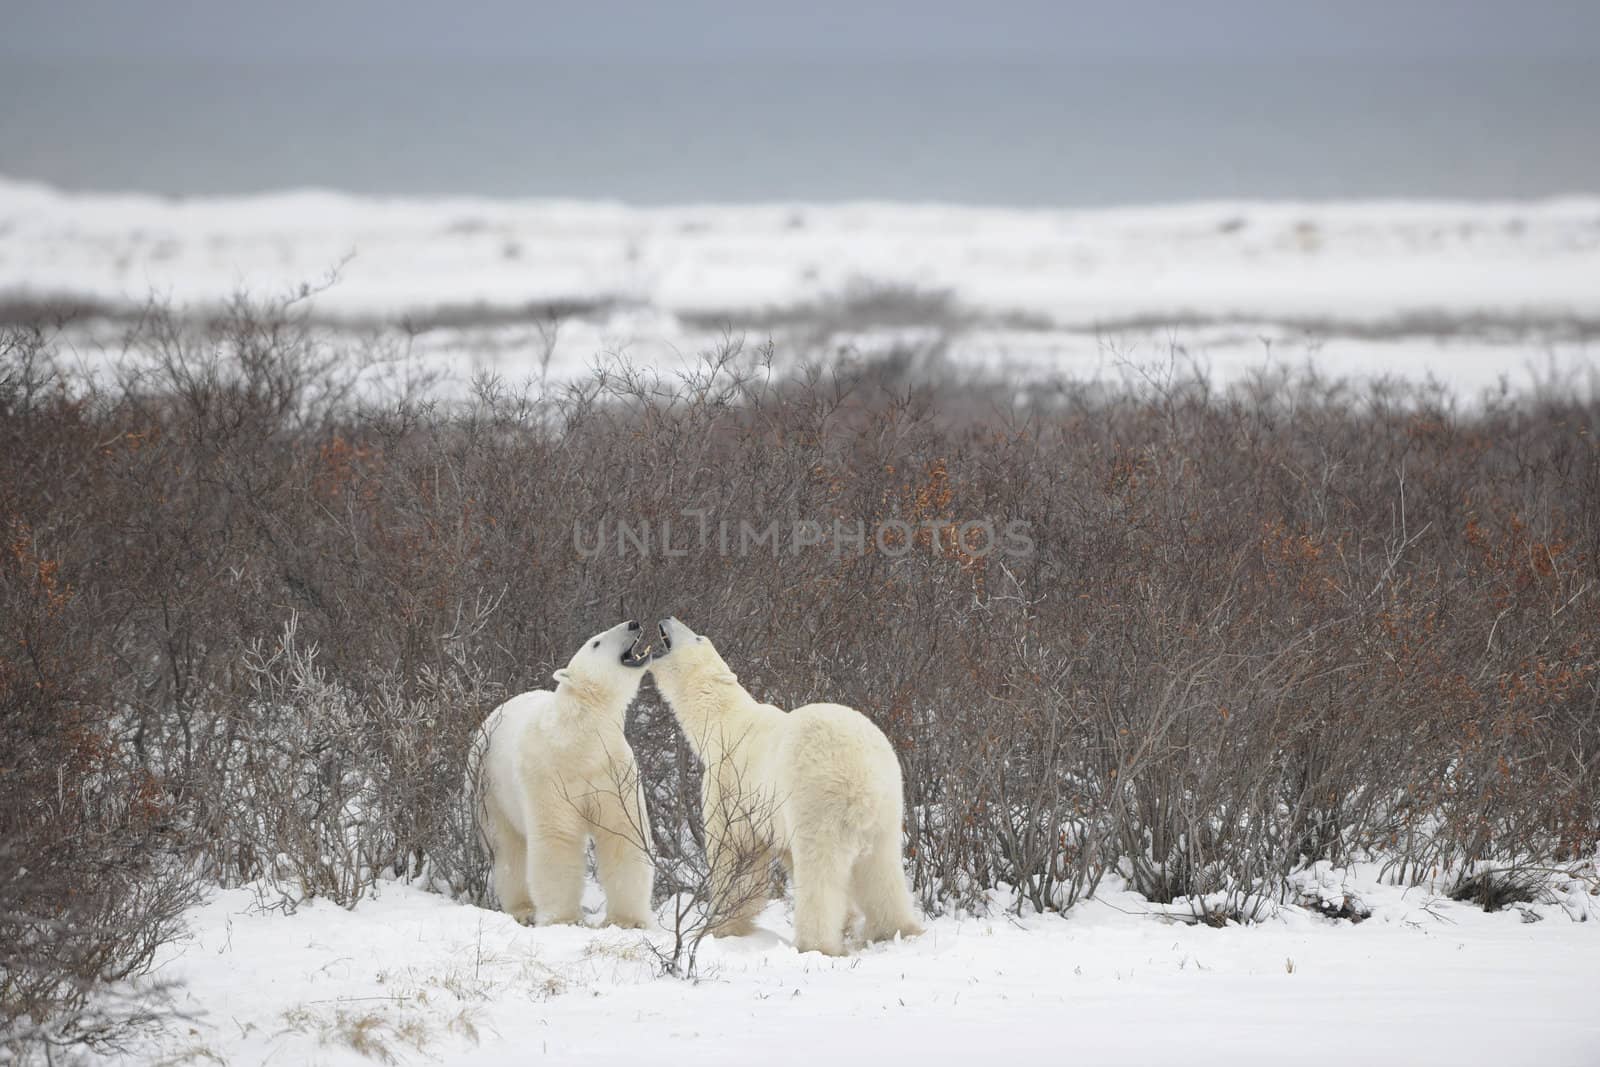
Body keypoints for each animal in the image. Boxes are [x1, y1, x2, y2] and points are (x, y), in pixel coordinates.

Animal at [467, 617, 656, 927]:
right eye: (596, 642)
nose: (633, 623)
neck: (577, 739)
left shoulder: (612, 769)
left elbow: (621, 832)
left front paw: (627, 921)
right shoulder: (548, 773)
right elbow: (557, 836)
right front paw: (564, 919)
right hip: (489, 790)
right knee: (509, 850)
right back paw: (523, 910)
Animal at [646, 614, 928, 953]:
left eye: (698, 636)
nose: (667, 617)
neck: (723, 721)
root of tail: (863, 777)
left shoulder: (730, 785)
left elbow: (736, 855)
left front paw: (721, 927)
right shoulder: (773, 818)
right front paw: (848, 924)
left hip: (816, 799)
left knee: (819, 873)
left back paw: (815, 944)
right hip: (888, 805)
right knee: (881, 870)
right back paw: (898, 929)